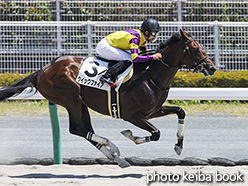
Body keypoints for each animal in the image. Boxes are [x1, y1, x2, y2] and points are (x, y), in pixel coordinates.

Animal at [0, 29, 215, 168]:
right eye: (195, 47)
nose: (211, 67)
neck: (151, 77)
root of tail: (42, 70)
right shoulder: (132, 115)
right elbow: (155, 134)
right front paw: (129, 135)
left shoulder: (153, 111)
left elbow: (180, 111)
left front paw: (179, 145)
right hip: (71, 98)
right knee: (78, 129)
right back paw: (113, 147)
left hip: (80, 103)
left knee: (83, 129)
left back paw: (117, 157)